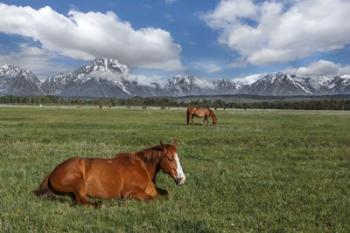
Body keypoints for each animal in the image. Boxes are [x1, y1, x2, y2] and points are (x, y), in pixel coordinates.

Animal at [33, 141, 186, 207]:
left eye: (178, 157)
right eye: (170, 158)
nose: (181, 178)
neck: (141, 167)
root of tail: (53, 172)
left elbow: (166, 194)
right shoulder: (130, 192)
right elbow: (152, 198)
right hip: (78, 184)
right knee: (83, 202)